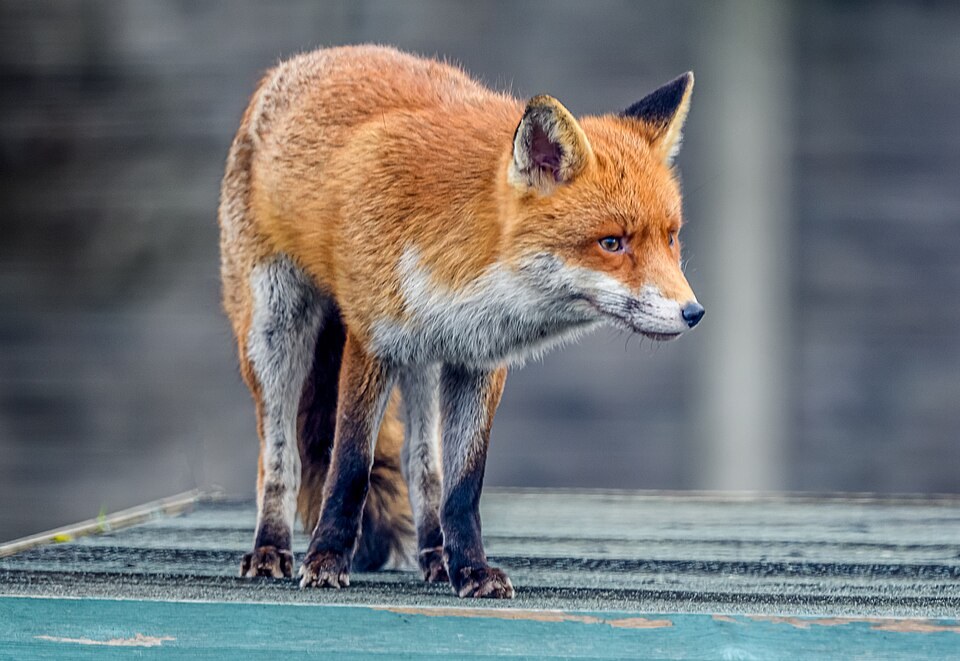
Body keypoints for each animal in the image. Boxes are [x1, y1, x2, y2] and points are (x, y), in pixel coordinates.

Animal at [219, 45, 703, 599]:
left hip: (423, 361)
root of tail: (292, 65)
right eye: (612, 243)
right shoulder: (370, 340)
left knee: (422, 466)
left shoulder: (478, 359)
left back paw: (435, 555)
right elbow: (351, 465)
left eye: (671, 237)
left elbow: (463, 485)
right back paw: (270, 549)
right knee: (278, 460)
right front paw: (325, 560)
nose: (694, 312)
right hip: (275, 333)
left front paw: (470, 568)